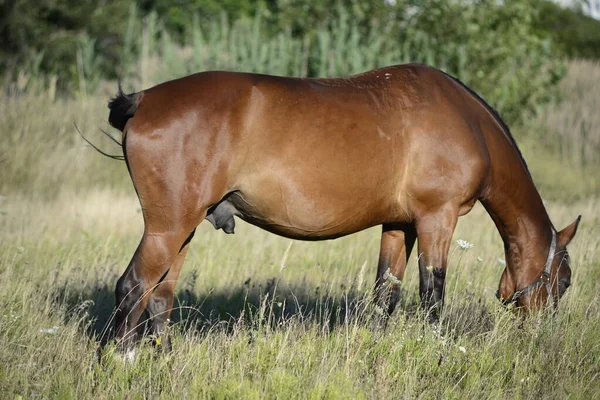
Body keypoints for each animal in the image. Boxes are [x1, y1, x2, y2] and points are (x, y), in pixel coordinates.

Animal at [105, 63, 580, 354]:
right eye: (565, 281)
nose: (543, 336)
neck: (468, 122)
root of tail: (143, 99)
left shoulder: (399, 225)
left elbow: (385, 294)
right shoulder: (436, 219)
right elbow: (432, 295)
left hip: (182, 229)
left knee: (160, 295)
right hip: (168, 227)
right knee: (132, 287)